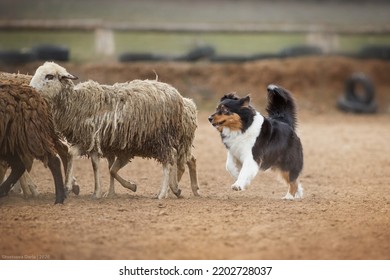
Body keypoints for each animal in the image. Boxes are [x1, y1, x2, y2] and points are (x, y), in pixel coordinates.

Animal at [29, 62, 185, 199]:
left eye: (49, 76)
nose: (30, 89)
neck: (75, 102)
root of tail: (175, 93)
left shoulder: (91, 138)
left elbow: (94, 164)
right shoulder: (88, 140)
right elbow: (85, 159)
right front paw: (91, 191)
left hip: (161, 137)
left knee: (168, 159)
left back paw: (162, 193)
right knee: (173, 155)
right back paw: (175, 188)